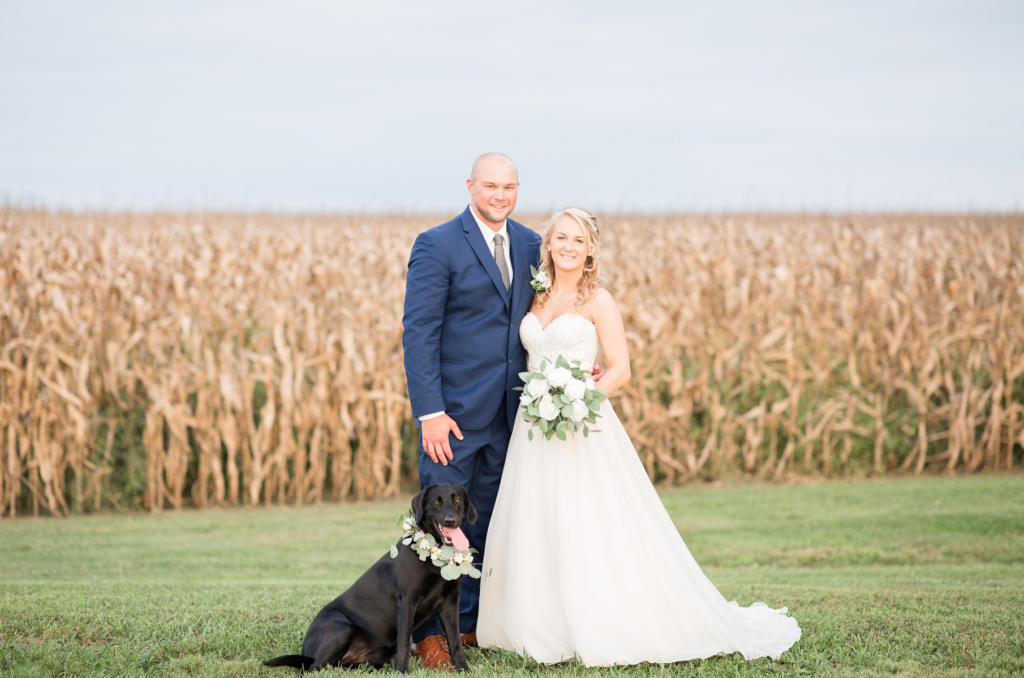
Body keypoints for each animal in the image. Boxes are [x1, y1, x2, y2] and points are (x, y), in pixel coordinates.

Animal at [260, 483, 475, 675]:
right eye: (436, 502)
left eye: (457, 500)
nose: (450, 520)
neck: (435, 556)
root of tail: (306, 652)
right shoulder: (407, 602)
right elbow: (404, 644)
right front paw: (402, 672)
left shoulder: (449, 603)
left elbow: (455, 641)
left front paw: (463, 669)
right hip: (342, 629)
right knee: (311, 670)